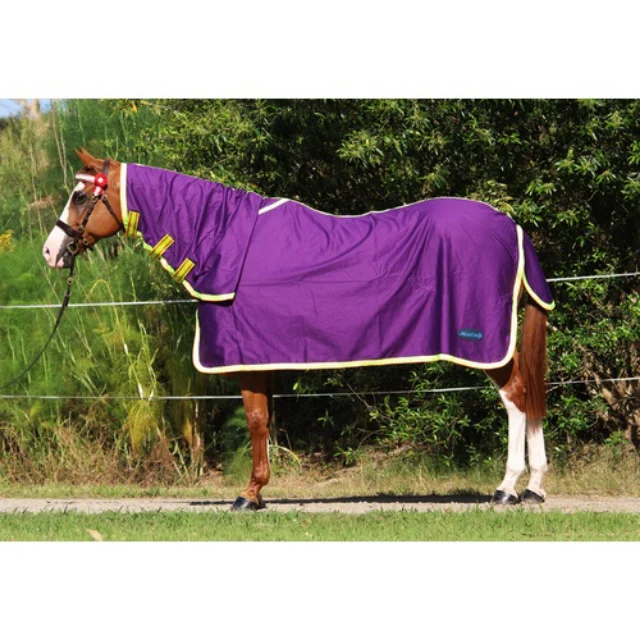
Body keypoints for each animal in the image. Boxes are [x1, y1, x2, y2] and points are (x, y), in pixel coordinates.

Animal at [43, 148, 555, 510]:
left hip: (485, 345)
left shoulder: (246, 358)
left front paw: (249, 495)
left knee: (515, 398)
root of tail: (511, 227)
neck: (222, 240)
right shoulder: (263, 357)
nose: (51, 252)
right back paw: (533, 487)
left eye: (82, 196)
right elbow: (265, 420)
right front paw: (259, 492)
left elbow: (255, 421)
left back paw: (508, 488)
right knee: (527, 394)